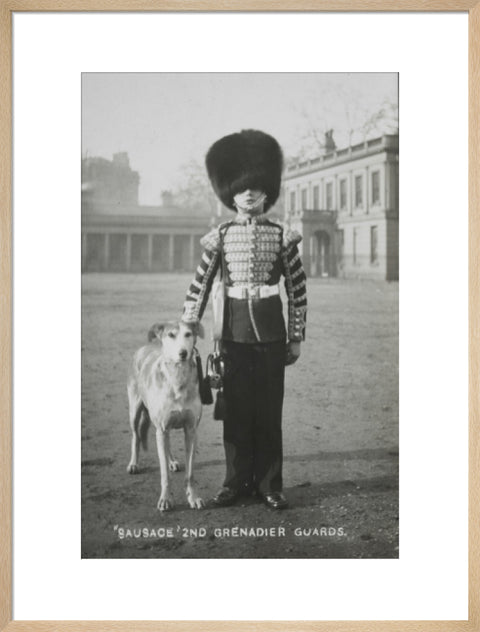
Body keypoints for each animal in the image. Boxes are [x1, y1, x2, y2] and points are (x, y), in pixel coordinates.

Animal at [126, 324, 203, 512]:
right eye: (171, 335)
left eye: (188, 334)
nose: (183, 353)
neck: (178, 378)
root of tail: (145, 347)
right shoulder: (161, 428)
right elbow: (164, 475)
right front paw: (165, 500)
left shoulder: (191, 430)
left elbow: (190, 473)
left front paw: (193, 498)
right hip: (135, 411)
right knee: (136, 436)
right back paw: (134, 464)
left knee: (166, 445)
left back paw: (172, 461)